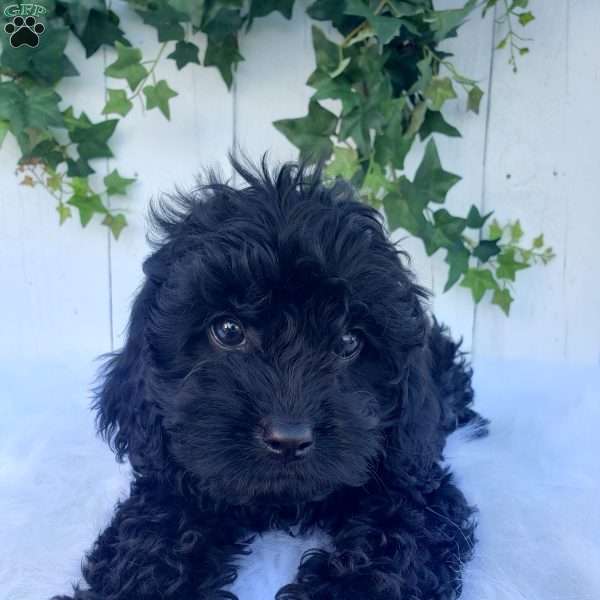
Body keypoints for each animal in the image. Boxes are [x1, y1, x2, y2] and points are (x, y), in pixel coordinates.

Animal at [54, 159, 486, 600]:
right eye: (228, 330)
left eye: (349, 341)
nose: (288, 438)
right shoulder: (174, 469)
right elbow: (152, 534)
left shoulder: (414, 486)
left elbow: (394, 545)